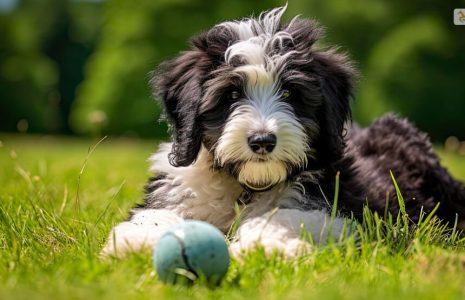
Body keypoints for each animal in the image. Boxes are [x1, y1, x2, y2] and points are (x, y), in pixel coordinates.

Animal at [101, 5, 464, 258]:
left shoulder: (343, 210)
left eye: (289, 93)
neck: (246, 185)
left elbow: (282, 216)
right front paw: (137, 241)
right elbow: (156, 215)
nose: (262, 141)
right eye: (231, 95)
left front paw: (261, 245)